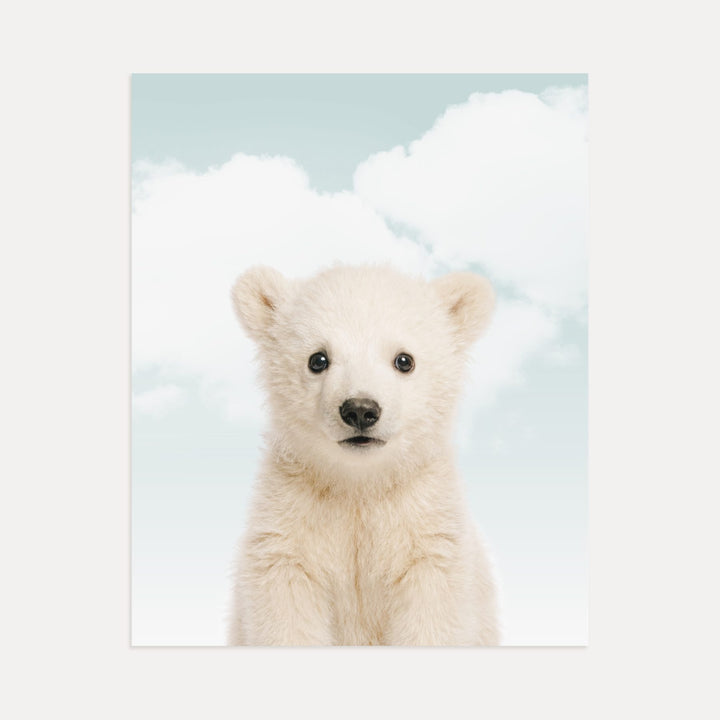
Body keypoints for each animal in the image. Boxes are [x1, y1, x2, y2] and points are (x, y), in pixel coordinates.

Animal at [227, 264, 499, 646]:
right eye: (318, 359)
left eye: (404, 360)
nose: (360, 410)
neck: (359, 484)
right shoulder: (289, 527)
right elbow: (286, 611)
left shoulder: (426, 531)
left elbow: (432, 616)